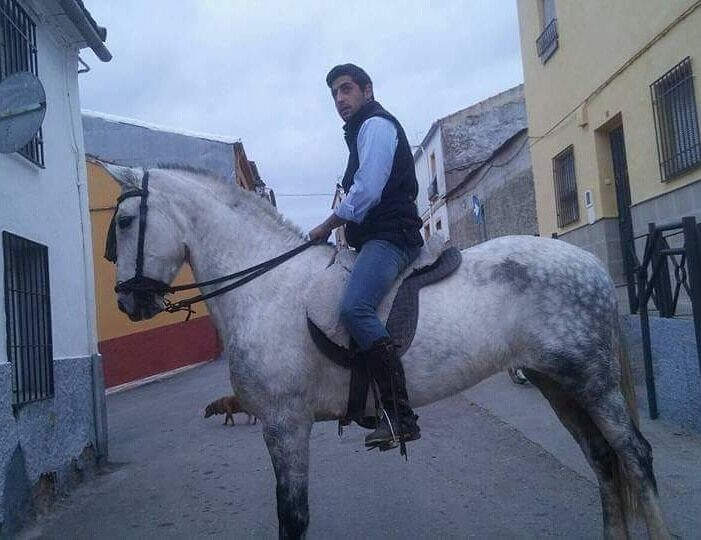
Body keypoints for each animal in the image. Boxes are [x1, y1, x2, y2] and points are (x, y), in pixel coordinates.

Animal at [101, 161, 670, 540]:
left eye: (125, 223)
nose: (128, 301)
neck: (270, 287)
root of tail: (587, 264)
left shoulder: (285, 424)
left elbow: (293, 517)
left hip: (592, 381)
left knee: (635, 457)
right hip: (559, 385)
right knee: (604, 462)